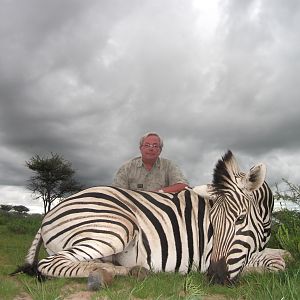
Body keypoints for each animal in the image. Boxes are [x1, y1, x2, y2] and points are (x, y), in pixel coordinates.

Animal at [12, 151, 288, 288]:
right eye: (212, 223)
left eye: (240, 219)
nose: (214, 278)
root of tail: (49, 214)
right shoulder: (207, 255)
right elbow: (276, 264)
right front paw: (255, 269)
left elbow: (280, 254)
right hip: (117, 227)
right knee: (49, 264)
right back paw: (109, 274)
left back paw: (121, 270)